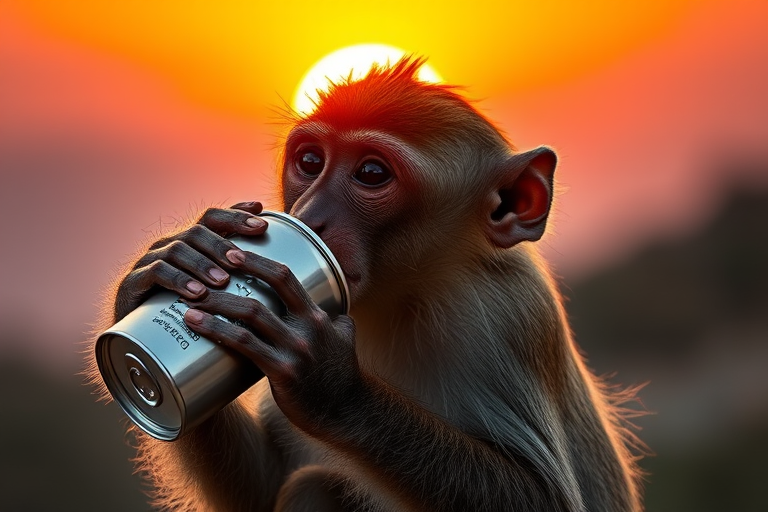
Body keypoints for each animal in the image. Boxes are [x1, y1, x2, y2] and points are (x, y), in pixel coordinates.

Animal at [88, 57, 645, 511]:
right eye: (310, 162)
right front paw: (167, 264)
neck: (403, 298)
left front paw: (332, 386)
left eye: (372, 173)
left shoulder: (506, 317)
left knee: (317, 486)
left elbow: (543, 496)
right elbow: (263, 488)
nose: (309, 215)